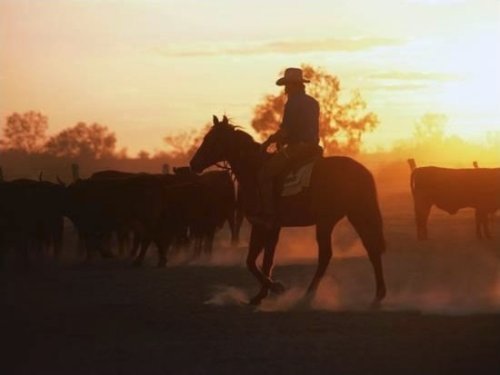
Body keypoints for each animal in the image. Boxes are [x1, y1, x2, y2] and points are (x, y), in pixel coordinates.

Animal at [190, 116, 386, 306]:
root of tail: (361, 170)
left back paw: (309, 295)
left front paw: (276, 288)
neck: (254, 170)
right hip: (355, 215)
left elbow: (257, 262)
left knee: (327, 255)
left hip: (327, 221)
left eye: (211, 139)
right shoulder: (266, 226)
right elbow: (261, 261)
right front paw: (260, 296)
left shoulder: (265, 225)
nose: (193, 164)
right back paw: (378, 295)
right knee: (372, 249)